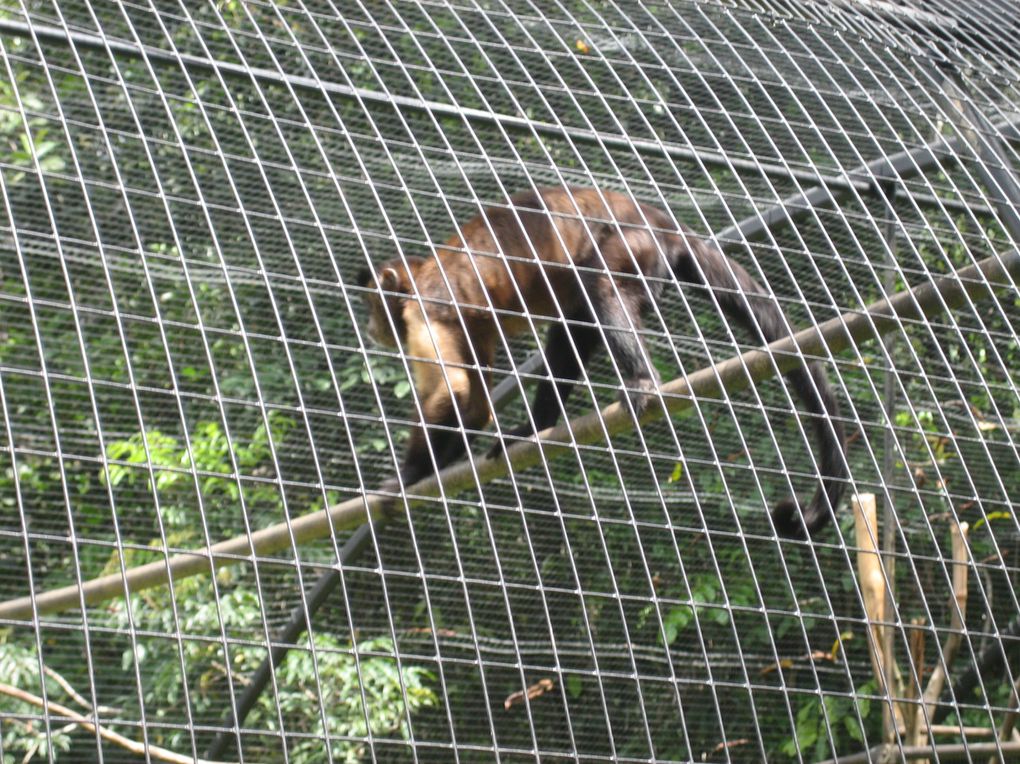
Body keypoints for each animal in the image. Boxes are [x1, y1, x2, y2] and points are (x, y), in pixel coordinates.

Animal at [359, 187, 844, 538]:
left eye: (373, 306)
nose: (371, 325)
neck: (423, 274)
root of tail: (659, 219)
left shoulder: (423, 309)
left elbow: (454, 391)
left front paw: (408, 476)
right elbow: (474, 402)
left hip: (633, 244)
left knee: (602, 288)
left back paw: (642, 380)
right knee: (574, 320)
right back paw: (536, 426)